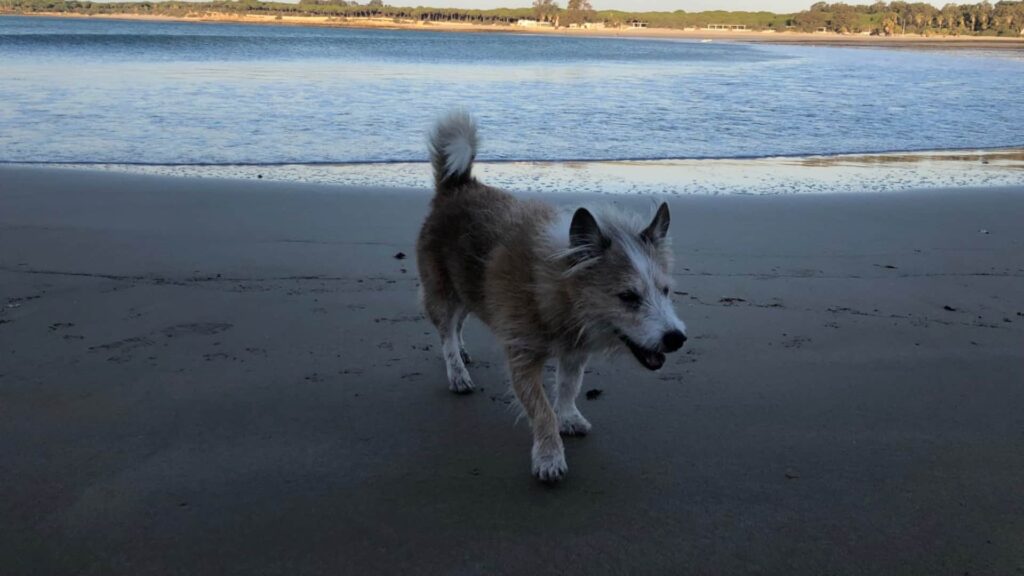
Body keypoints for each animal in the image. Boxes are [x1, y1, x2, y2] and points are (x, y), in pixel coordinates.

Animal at [415, 111, 688, 479]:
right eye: (628, 296)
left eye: (665, 290)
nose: (677, 338)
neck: (557, 291)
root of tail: (458, 185)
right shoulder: (521, 356)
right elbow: (541, 407)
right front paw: (549, 455)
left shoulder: (575, 351)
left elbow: (569, 386)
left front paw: (569, 417)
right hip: (442, 290)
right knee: (445, 330)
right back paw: (457, 372)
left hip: (468, 287)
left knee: (458, 324)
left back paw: (463, 352)